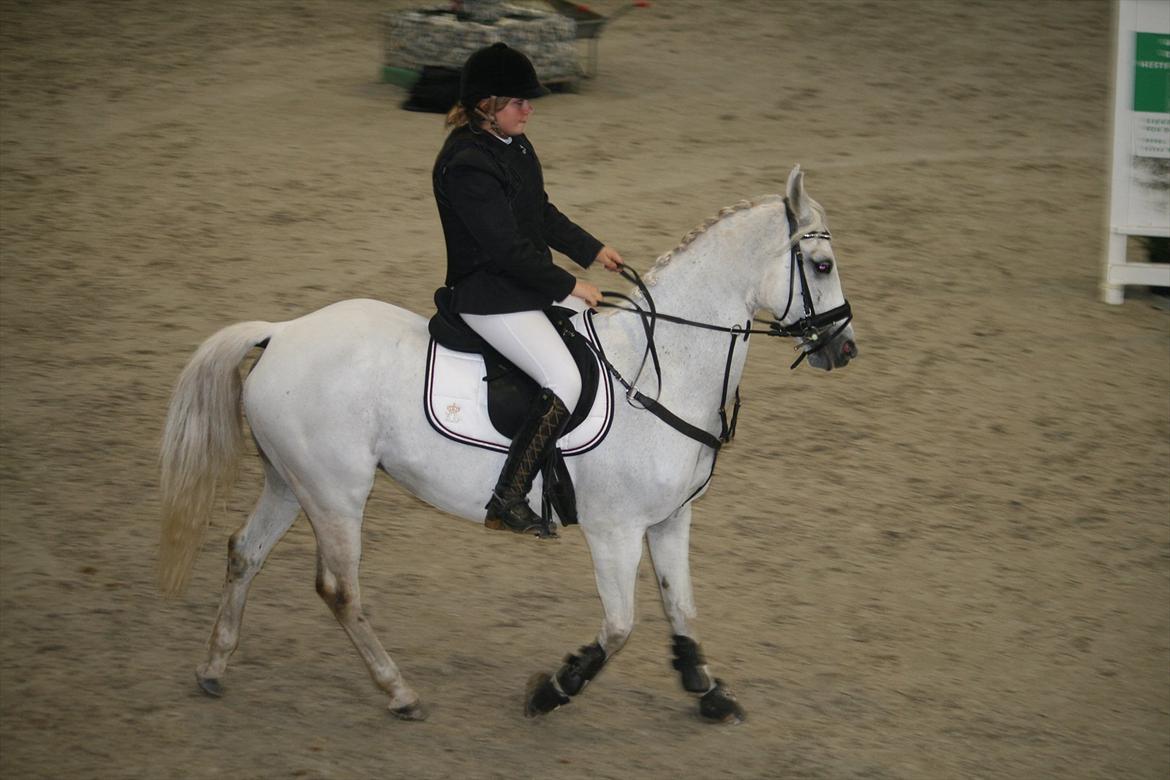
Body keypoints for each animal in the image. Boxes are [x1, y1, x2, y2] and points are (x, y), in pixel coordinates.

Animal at [158, 165, 856, 724]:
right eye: (820, 266)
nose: (844, 349)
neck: (662, 368)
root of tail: (281, 332)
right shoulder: (615, 530)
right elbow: (620, 627)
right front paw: (552, 689)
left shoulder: (670, 519)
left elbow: (681, 610)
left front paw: (707, 690)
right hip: (336, 494)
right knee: (341, 591)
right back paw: (400, 692)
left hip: (290, 481)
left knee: (245, 553)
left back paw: (213, 668)